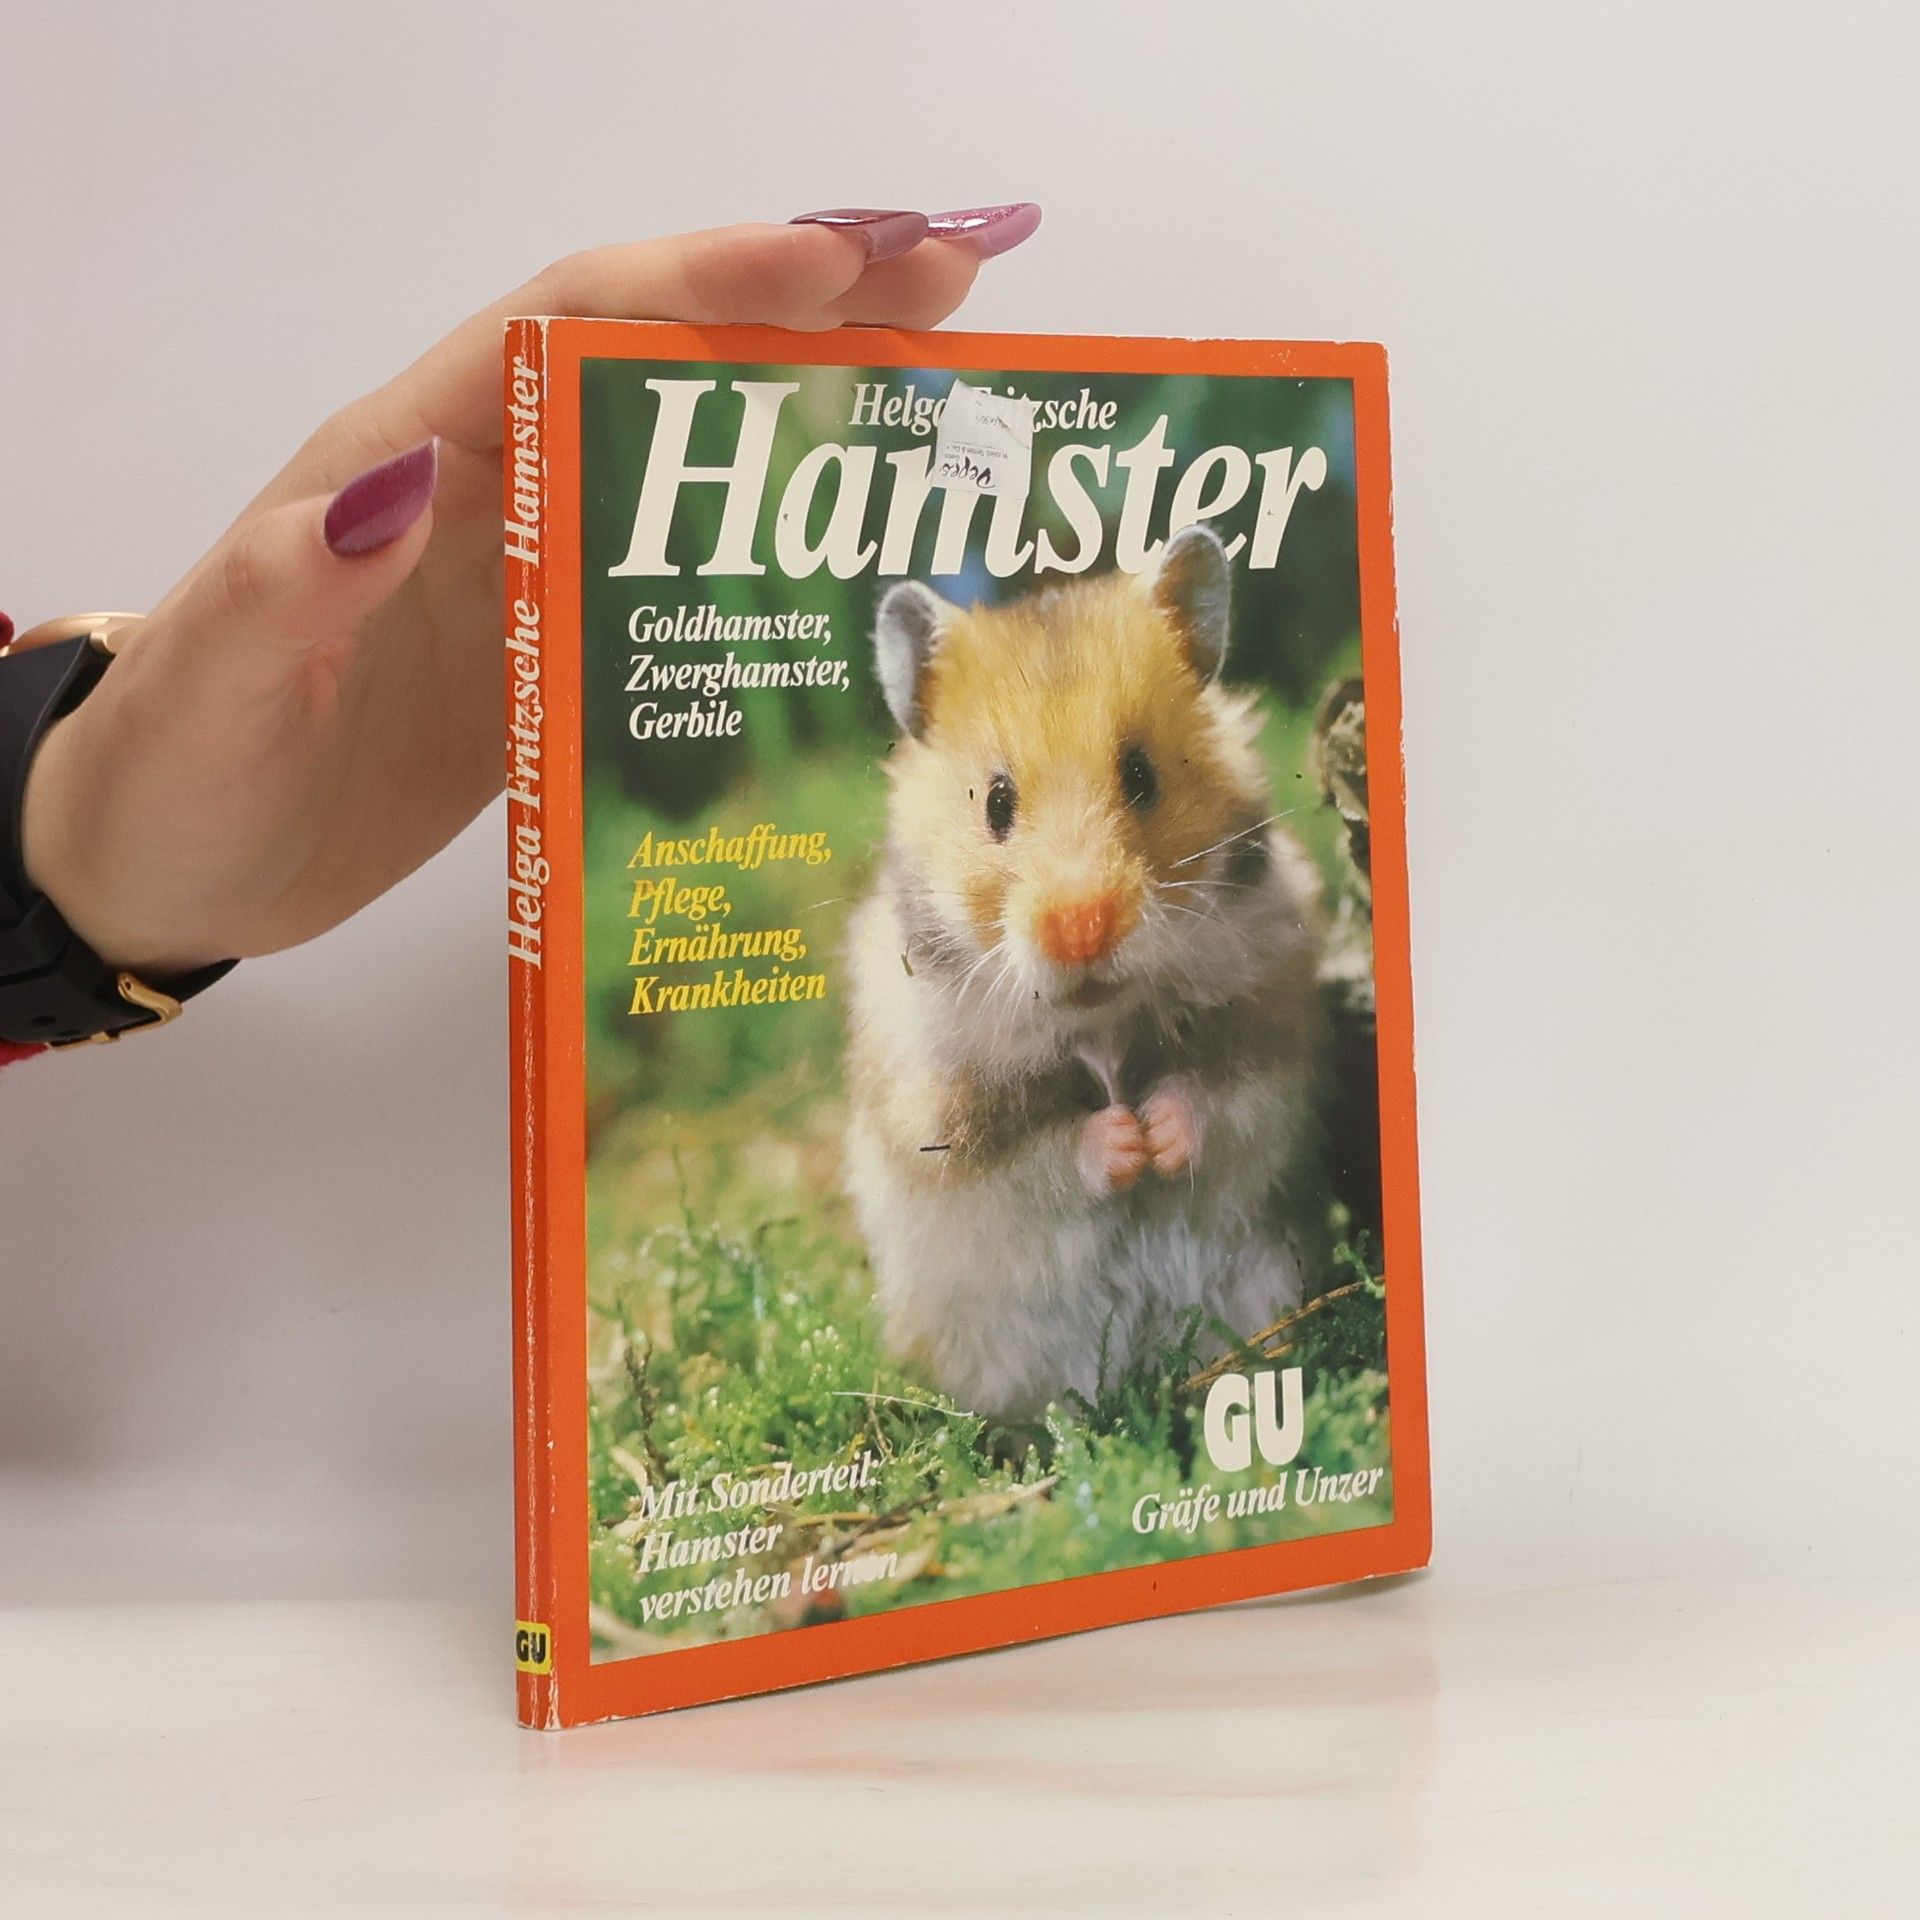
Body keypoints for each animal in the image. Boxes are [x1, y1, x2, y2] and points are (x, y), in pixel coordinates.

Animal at [843, 523, 1327, 1422]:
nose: (1083, 926)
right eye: (997, 802)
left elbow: (1218, 1096)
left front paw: (1157, 1134)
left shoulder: (1274, 1033)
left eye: (1141, 775)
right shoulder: (948, 1118)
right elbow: (1042, 1157)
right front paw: (1122, 1142)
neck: (1096, 1018)